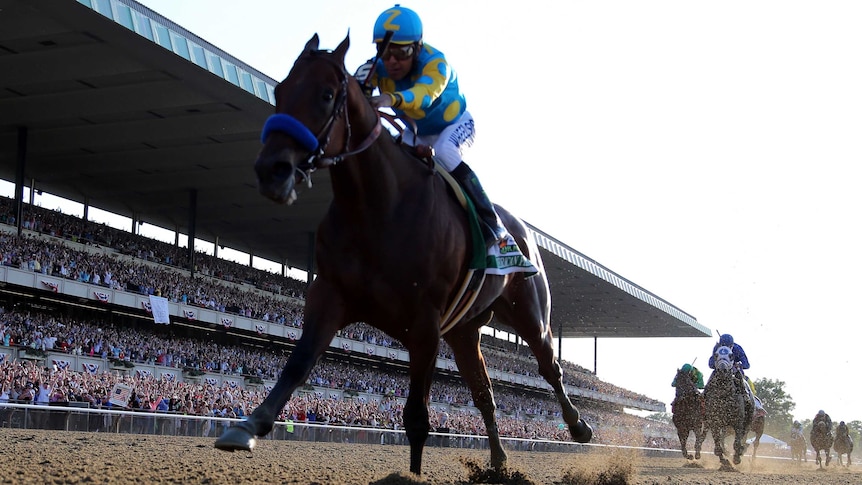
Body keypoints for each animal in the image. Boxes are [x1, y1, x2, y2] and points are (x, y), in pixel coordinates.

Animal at [216, 35, 592, 476]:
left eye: (326, 95)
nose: (271, 170)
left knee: (549, 365)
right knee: (484, 394)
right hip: (464, 331)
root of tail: (521, 229)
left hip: (529, 312)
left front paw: (412, 475)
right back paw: (499, 461)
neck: (378, 206)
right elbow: (298, 362)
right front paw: (247, 426)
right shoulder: (331, 294)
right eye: (280, 91)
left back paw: (579, 426)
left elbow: (416, 417)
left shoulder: (424, 324)